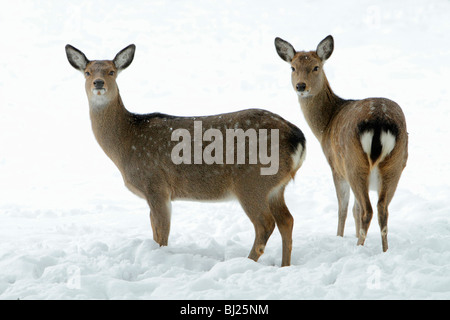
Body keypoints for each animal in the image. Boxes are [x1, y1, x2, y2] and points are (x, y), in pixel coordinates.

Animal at [65, 43, 308, 266]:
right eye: (87, 72)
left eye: (111, 71)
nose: (98, 83)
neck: (126, 144)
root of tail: (298, 138)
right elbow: (155, 232)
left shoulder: (156, 185)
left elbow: (161, 235)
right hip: (275, 187)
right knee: (287, 220)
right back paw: (284, 265)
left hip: (252, 181)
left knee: (265, 224)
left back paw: (244, 262)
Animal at [274, 34, 408, 250]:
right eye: (292, 67)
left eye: (316, 67)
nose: (301, 86)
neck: (325, 126)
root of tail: (380, 122)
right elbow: (354, 208)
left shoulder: (335, 166)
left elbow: (343, 208)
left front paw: (339, 237)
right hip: (395, 164)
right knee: (382, 209)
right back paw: (384, 250)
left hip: (353, 162)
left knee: (367, 209)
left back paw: (359, 247)